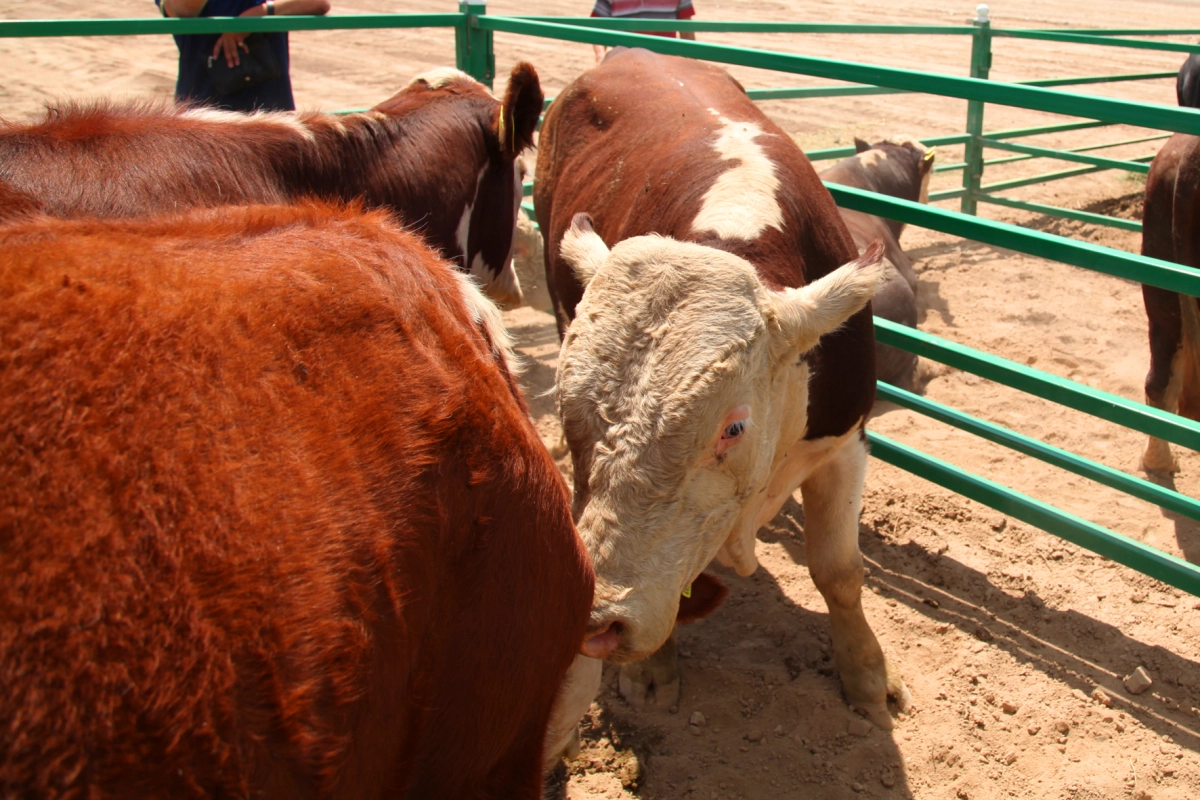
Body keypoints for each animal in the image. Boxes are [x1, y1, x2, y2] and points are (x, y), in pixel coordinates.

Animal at [535, 47, 907, 748]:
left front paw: (868, 678)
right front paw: (653, 671)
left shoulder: (845, 440)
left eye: (732, 429)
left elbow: (839, 571)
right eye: (570, 413)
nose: (599, 617)